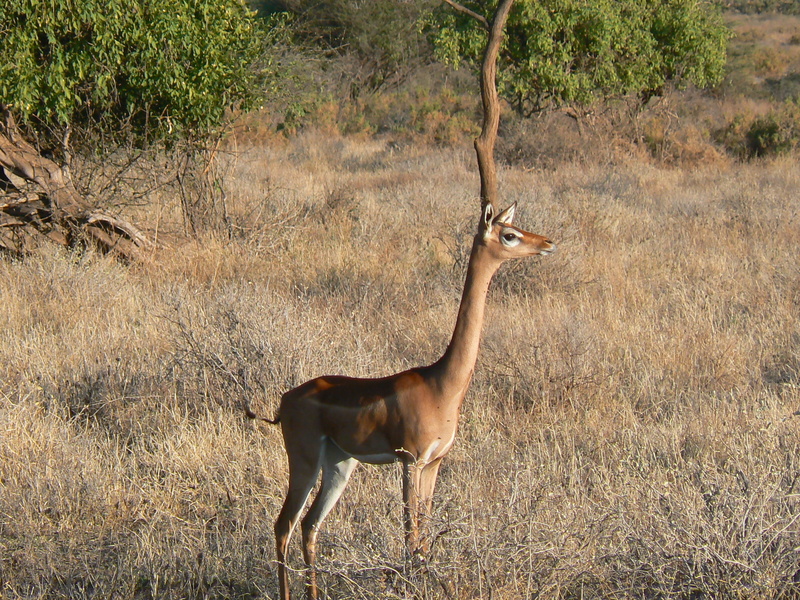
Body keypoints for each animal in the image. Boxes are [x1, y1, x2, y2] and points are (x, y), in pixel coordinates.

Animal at [255, 202, 555, 600]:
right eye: (509, 234)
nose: (547, 243)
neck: (441, 385)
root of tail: (285, 400)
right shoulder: (411, 461)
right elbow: (411, 537)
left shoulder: (435, 463)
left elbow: (424, 537)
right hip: (304, 461)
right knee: (284, 524)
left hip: (339, 464)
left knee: (309, 525)